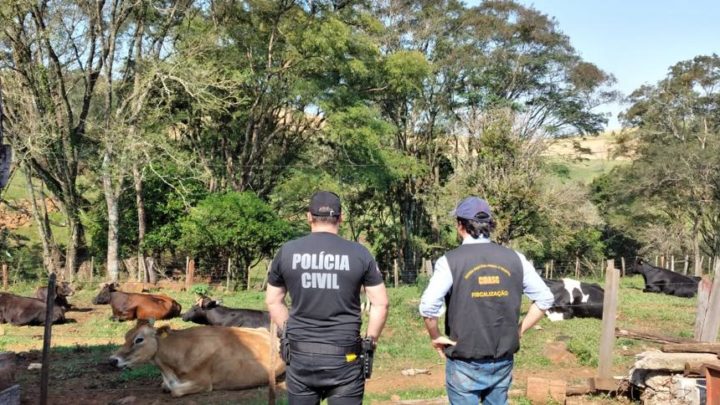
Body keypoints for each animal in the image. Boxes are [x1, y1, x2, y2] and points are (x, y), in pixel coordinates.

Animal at [109, 320, 284, 396]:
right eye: (126, 336)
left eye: (139, 339)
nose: (112, 360)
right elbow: (166, 387)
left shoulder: (203, 383)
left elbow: (175, 391)